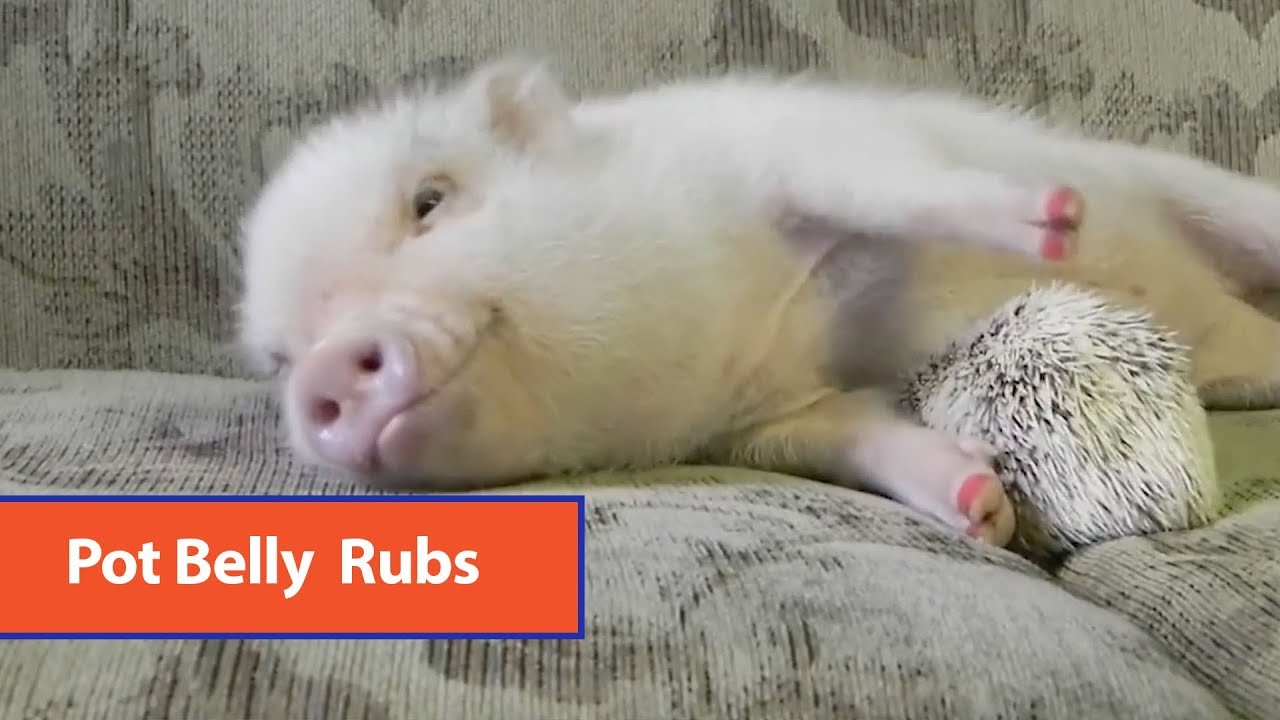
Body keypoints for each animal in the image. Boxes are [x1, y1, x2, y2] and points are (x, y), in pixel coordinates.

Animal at [236, 58, 1280, 547]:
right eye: (283, 355)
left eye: (430, 200)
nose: (325, 367)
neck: (747, 321)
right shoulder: (770, 419)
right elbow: (859, 435)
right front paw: (980, 508)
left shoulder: (794, 153)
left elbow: (891, 186)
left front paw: (1054, 221)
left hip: (1203, 193)